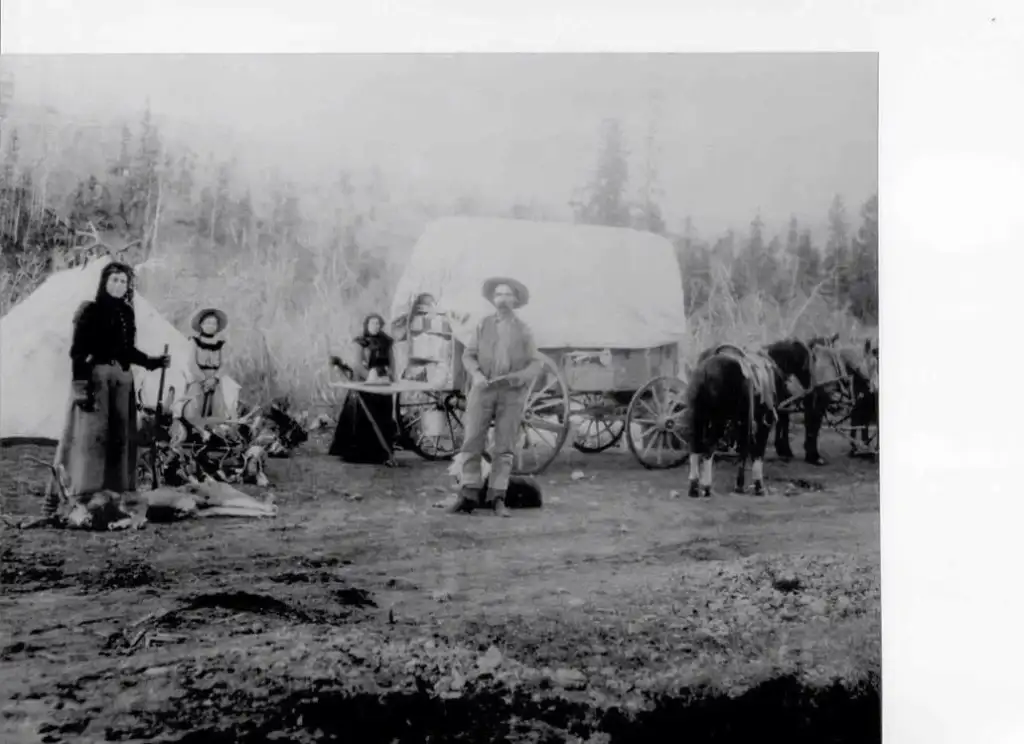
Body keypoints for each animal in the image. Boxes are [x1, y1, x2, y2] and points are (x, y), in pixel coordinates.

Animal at [688, 343, 774, 497]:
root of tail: (705, 371)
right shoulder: (756, 425)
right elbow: (753, 452)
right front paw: (753, 486)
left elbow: (745, 450)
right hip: (719, 423)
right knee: (708, 449)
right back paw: (706, 486)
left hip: (698, 419)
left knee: (695, 447)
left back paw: (694, 487)